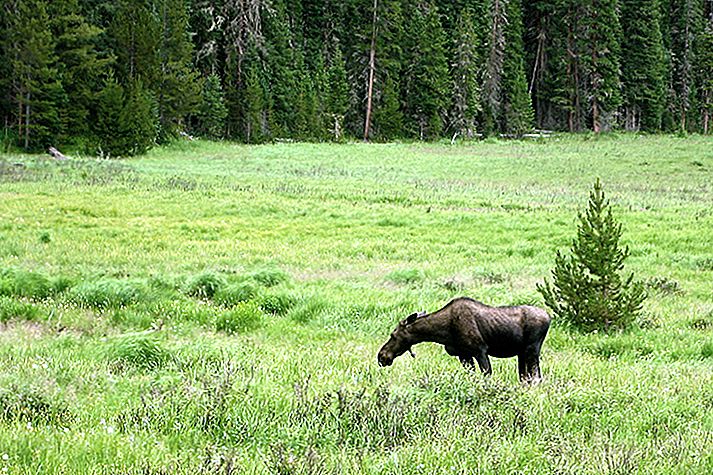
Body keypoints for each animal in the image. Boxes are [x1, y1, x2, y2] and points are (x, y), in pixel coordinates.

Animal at [378, 298, 552, 384]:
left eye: (393, 335)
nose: (381, 356)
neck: (443, 332)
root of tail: (549, 317)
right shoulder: (464, 355)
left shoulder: (480, 350)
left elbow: (486, 375)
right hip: (522, 353)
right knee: (525, 378)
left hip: (532, 349)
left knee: (537, 378)